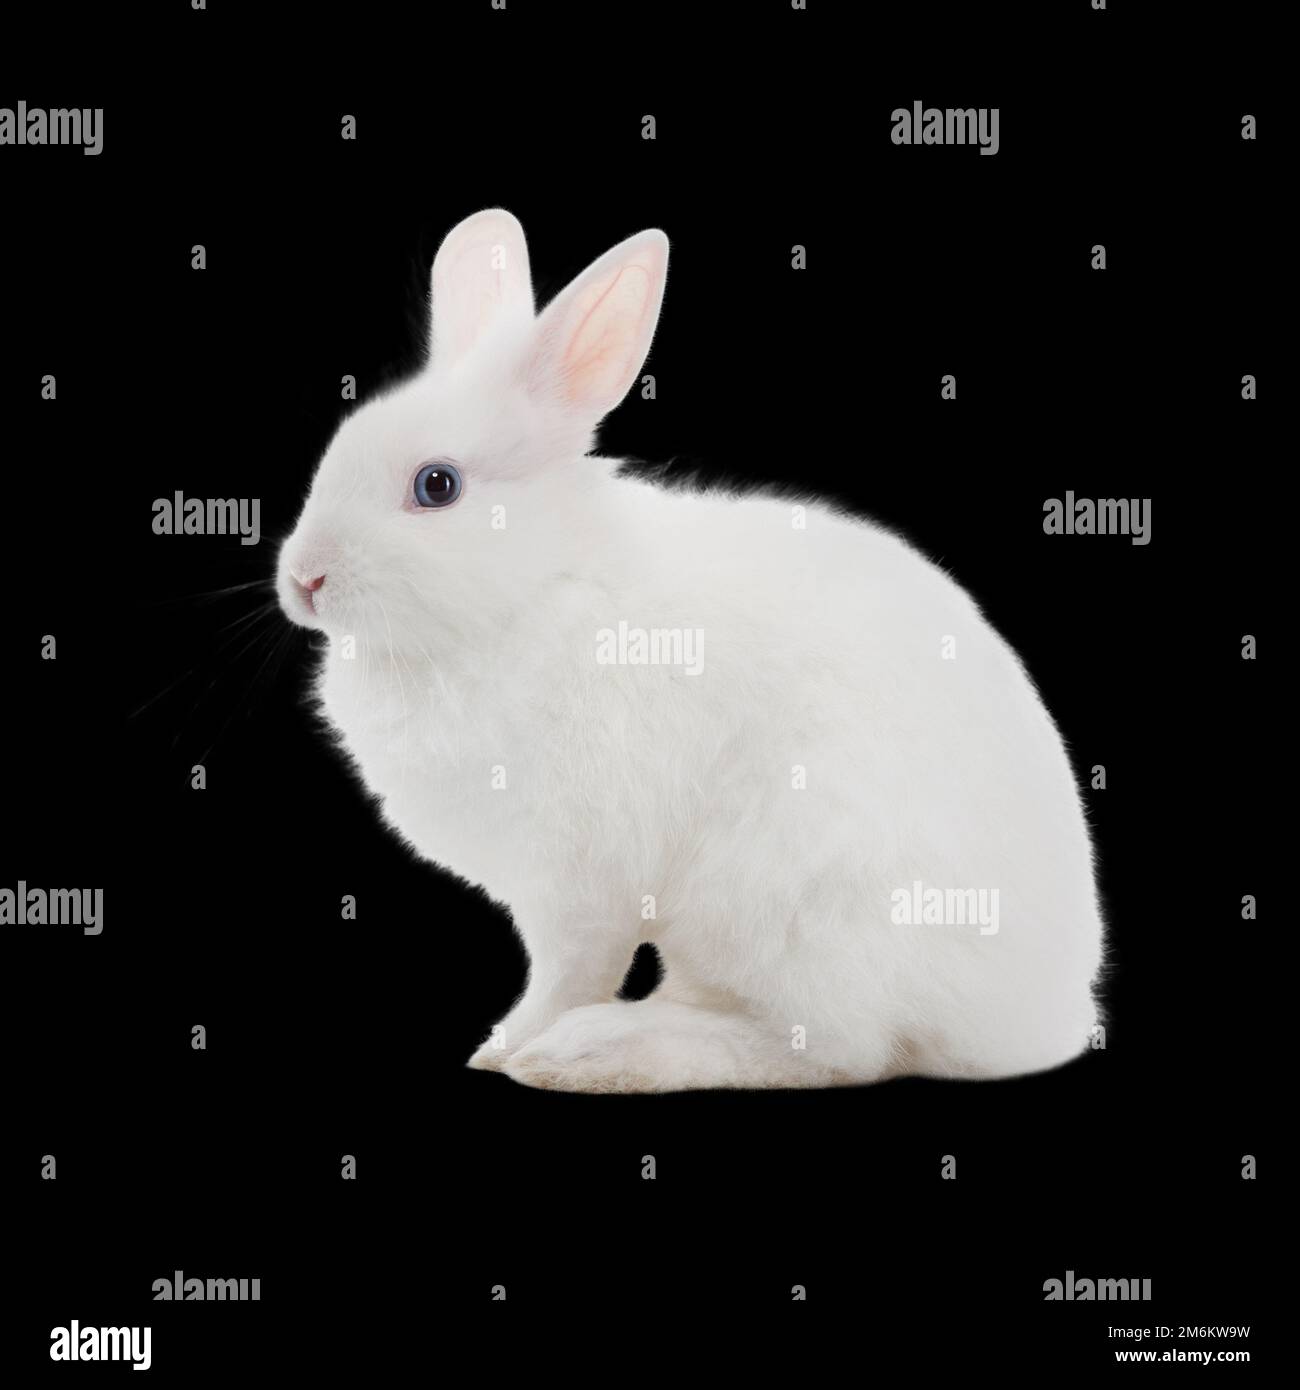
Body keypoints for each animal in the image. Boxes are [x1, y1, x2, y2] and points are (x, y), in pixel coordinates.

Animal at [277, 208, 1104, 1093]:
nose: (305, 578)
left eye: (437, 486)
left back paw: (601, 1051)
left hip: (788, 905)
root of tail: (1042, 1016)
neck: (535, 588)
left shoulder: (577, 881)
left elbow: (569, 970)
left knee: (833, 1050)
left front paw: (510, 1047)